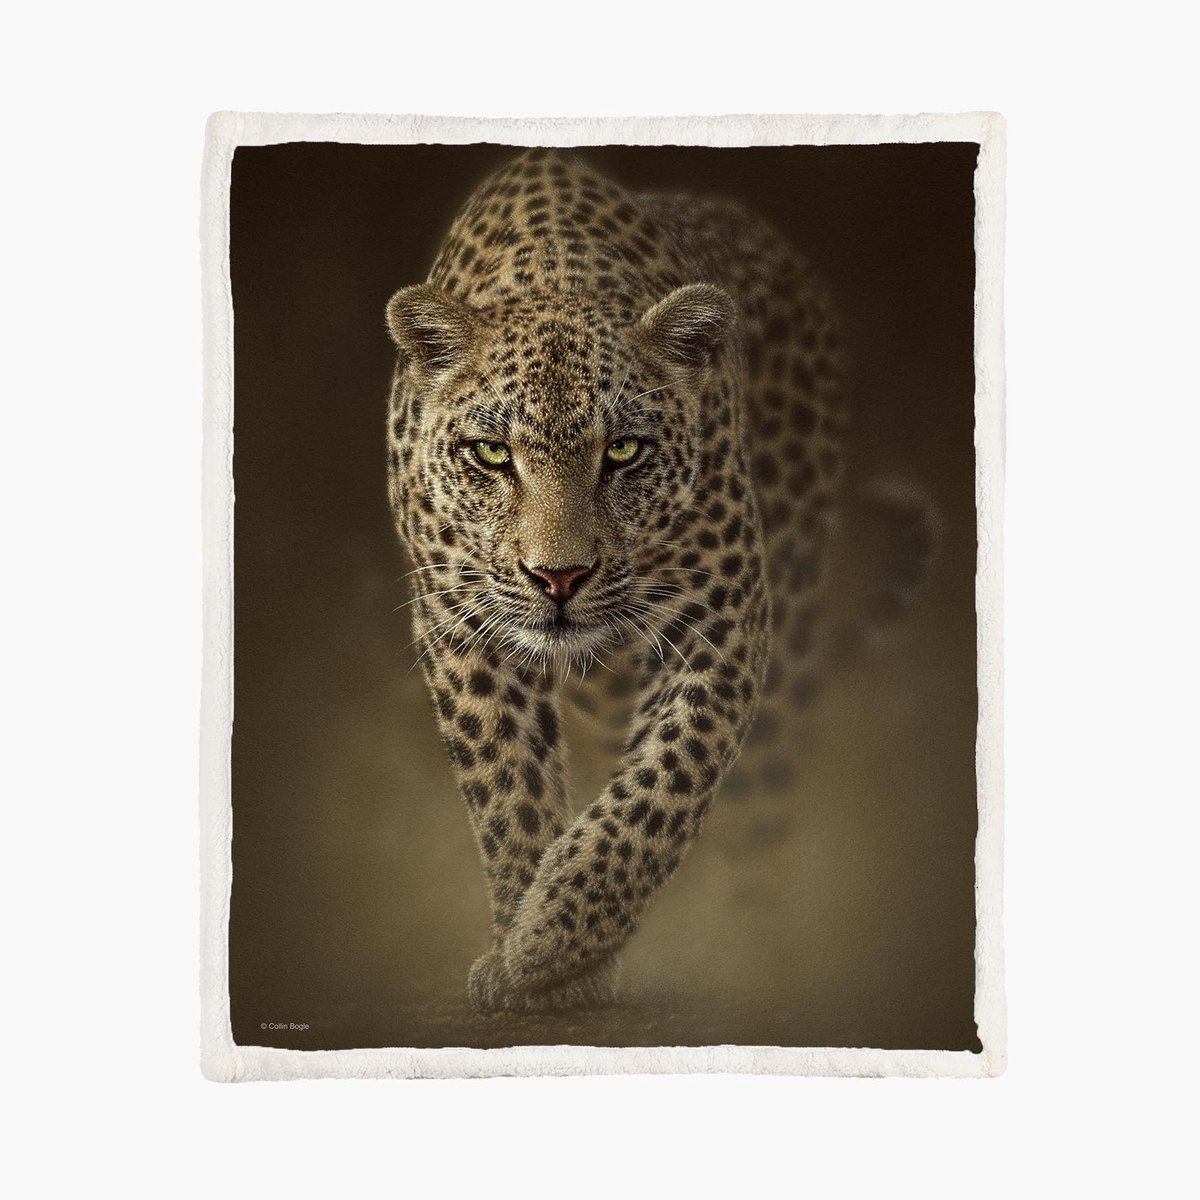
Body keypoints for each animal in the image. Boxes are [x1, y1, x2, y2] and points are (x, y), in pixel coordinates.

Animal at [384, 148, 931, 1013]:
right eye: (493, 454)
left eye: (625, 452)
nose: (559, 577)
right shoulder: (458, 623)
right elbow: (507, 787)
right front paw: (531, 954)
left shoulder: (724, 618)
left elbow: (664, 787)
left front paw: (553, 944)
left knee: (760, 805)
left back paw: (758, 948)